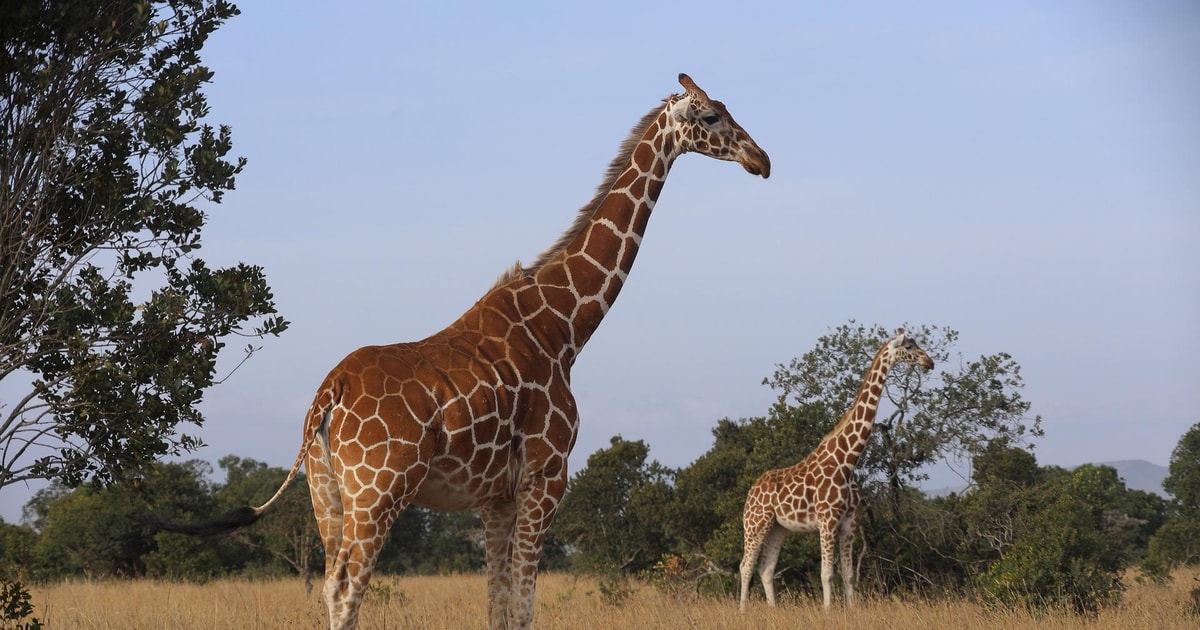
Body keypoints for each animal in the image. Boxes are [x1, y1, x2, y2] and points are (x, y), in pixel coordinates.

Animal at [159, 75, 772, 628]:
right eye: (712, 115)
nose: (761, 159)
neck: (564, 327)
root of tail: (329, 395)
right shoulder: (547, 475)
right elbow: (522, 607)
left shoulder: (495, 495)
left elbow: (498, 606)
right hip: (376, 492)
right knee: (347, 590)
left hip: (325, 491)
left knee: (328, 585)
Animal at [734, 328, 931, 609]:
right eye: (910, 346)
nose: (929, 362)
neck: (847, 460)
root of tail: (751, 490)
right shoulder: (827, 520)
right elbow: (827, 574)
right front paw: (828, 612)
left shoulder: (849, 521)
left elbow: (848, 575)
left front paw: (853, 610)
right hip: (755, 524)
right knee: (745, 566)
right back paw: (742, 611)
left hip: (778, 528)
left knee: (766, 569)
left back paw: (773, 610)